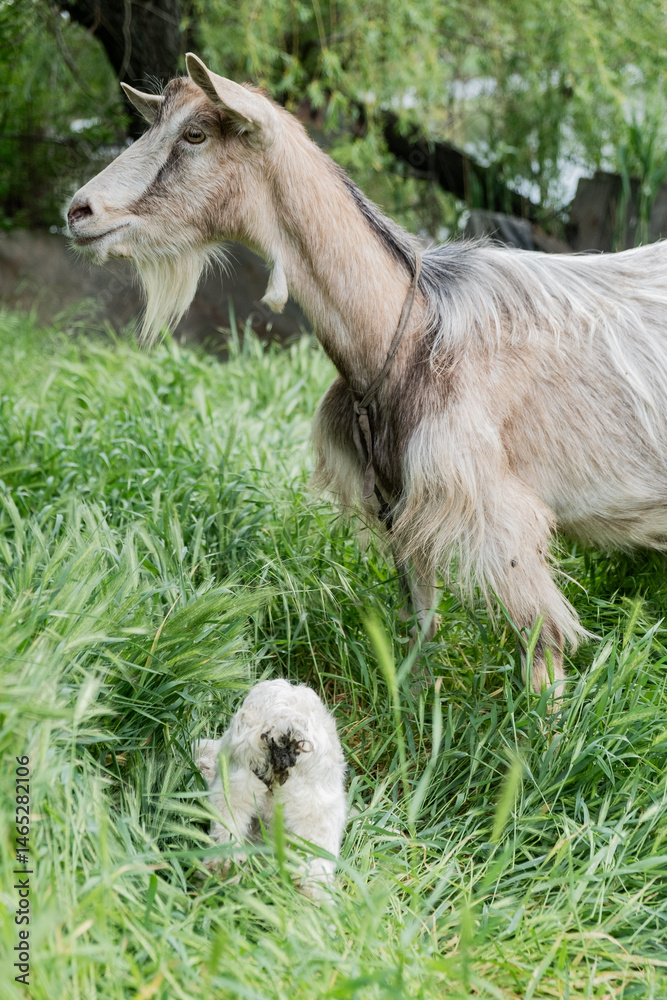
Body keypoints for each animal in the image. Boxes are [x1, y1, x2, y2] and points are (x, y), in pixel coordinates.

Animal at [67, 54, 667, 696]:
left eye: (196, 134)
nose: (78, 212)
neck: (409, 332)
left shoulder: (495, 513)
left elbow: (542, 641)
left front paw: (546, 723)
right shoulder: (400, 506)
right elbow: (421, 628)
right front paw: (418, 709)